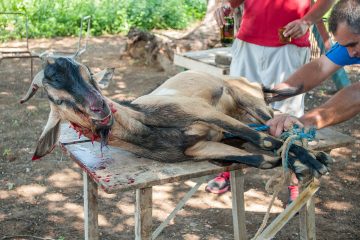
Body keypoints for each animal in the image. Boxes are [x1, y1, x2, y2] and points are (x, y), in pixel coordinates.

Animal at [20, 57, 332, 179]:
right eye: (57, 98)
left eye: (90, 76)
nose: (101, 109)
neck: (146, 125)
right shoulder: (199, 149)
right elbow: (263, 159)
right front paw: (300, 164)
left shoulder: (200, 111)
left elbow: (265, 142)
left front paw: (313, 163)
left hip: (250, 101)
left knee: (271, 127)